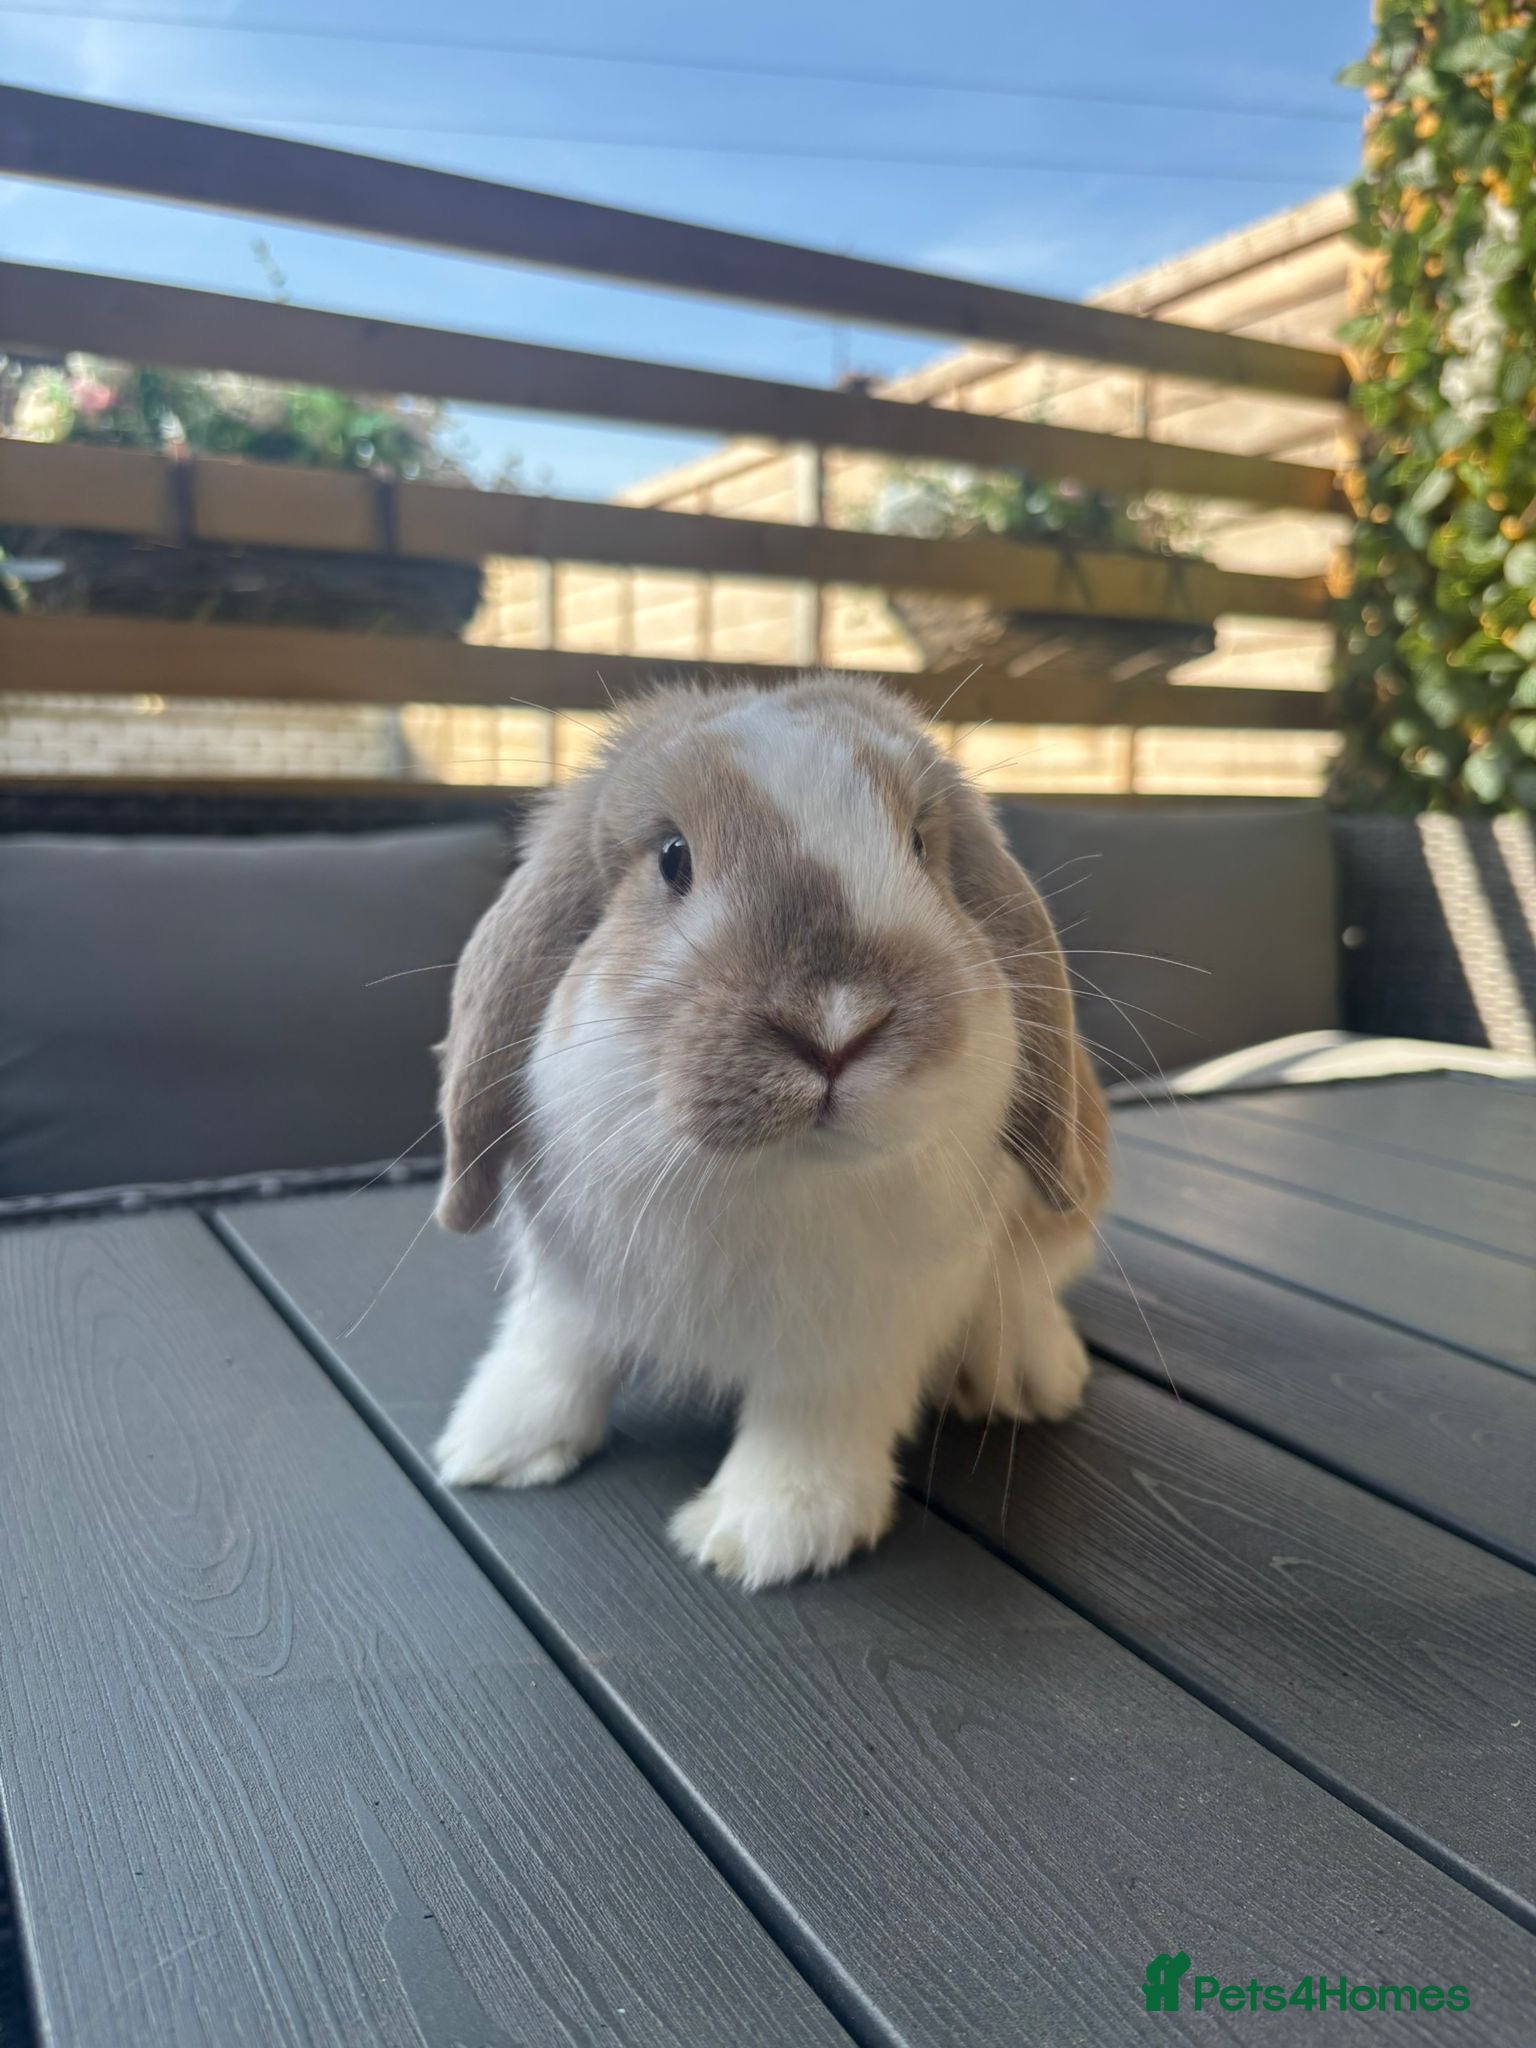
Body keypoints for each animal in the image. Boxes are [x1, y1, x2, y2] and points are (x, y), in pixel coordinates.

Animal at [431, 675, 1109, 1590]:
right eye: (672, 857)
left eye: (919, 847)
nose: (836, 1027)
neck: (769, 1177)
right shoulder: (570, 1278)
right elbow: (554, 1348)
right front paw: (498, 1447)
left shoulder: (860, 1328)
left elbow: (814, 1414)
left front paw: (768, 1534)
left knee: (1026, 1285)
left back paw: (1025, 1378)